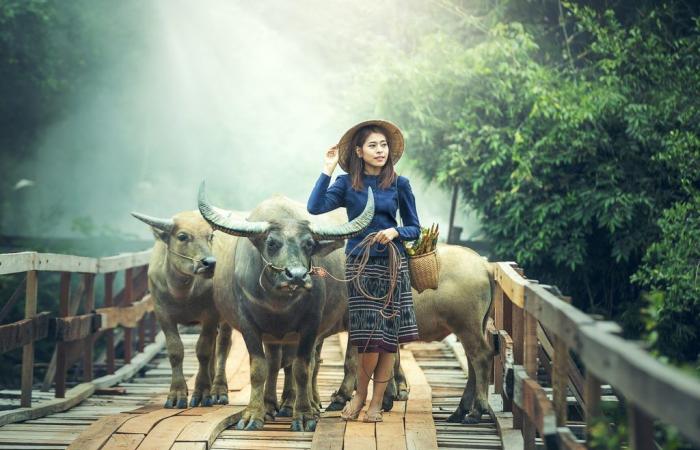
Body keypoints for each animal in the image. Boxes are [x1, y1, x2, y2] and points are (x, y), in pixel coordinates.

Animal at [129, 211, 232, 408]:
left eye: (210, 236)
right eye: (182, 236)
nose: (209, 263)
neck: (183, 293)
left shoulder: (210, 315)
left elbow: (203, 351)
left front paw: (202, 393)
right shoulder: (163, 315)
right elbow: (175, 351)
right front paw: (176, 394)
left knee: (223, 345)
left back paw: (218, 390)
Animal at [200, 183, 374, 432]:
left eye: (309, 244)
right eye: (272, 243)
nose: (298, 276)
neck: (278, 301)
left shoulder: (310, 325)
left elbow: (302, 368)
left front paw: (303, 415)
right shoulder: (249, 324)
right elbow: (260, 368)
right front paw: (254, 415)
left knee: (349, 356)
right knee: (276, 363)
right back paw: (272, 405)